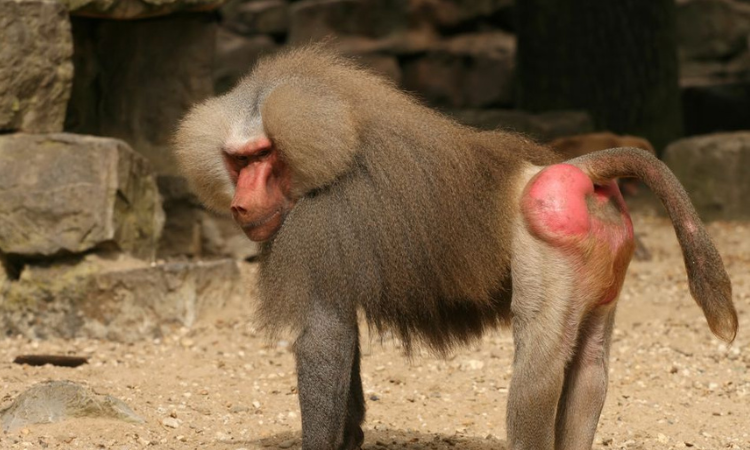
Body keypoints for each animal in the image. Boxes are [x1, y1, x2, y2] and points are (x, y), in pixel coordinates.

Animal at [174, 46, 738, 450]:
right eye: (238, 161)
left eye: (263, 157)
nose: (240, 206)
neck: (337, 144)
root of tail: (578, 168)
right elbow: (345, 342)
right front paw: (352, 436)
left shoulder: (322, 224)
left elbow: (325, 337)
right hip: (603, 260)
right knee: (590, 366)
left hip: (547, 245)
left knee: (538, 373)